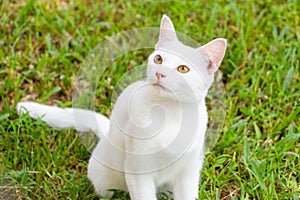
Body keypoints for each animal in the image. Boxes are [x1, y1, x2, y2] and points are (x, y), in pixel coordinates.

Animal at [16, 14, 226, 199]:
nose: (160, 73)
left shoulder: (188, 174)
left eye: (183, 69)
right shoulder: (138, 171)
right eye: (158, 59)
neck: (169, 112)